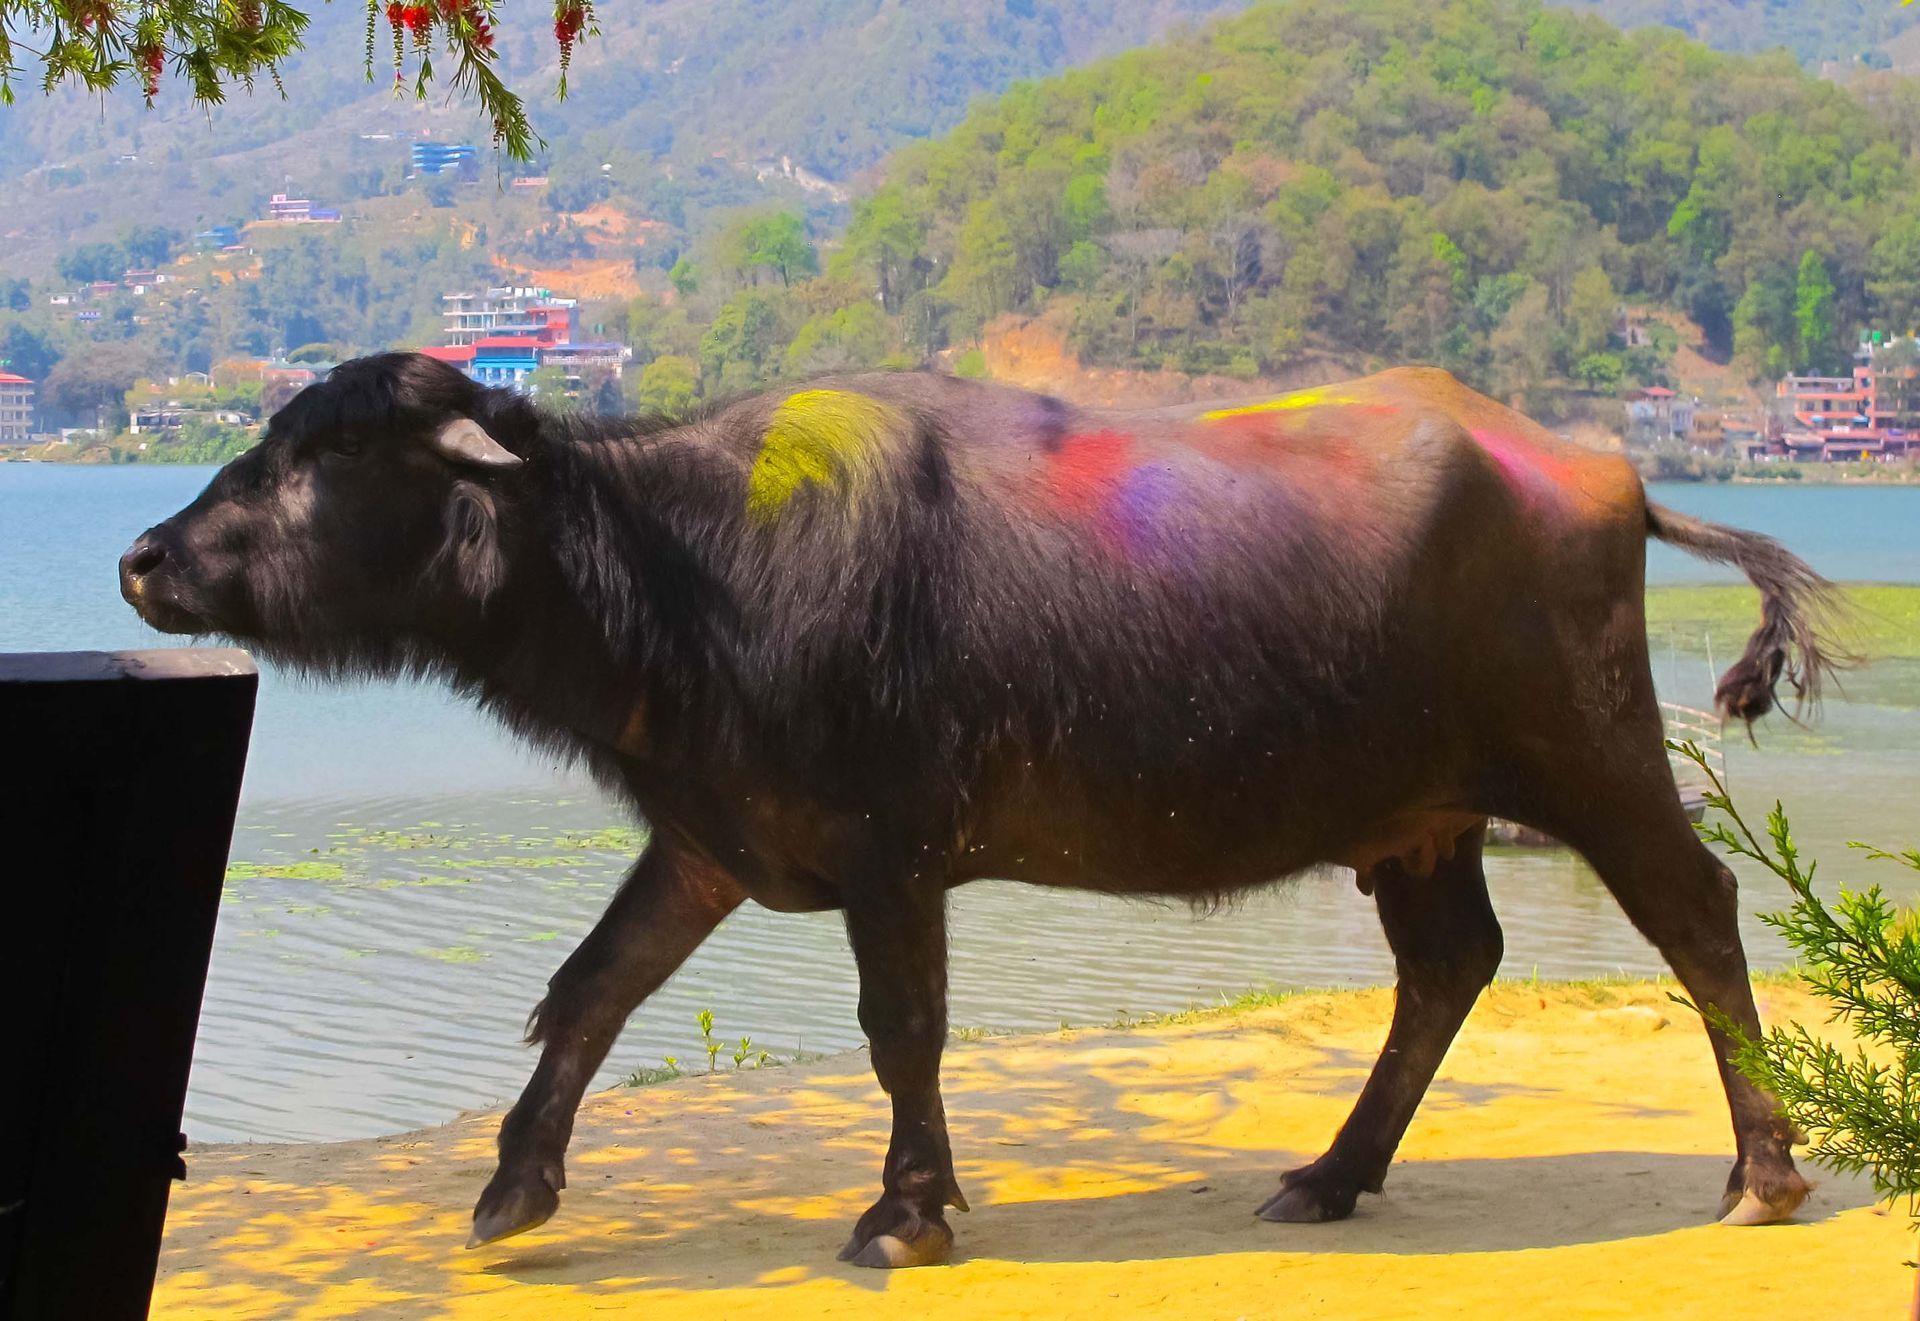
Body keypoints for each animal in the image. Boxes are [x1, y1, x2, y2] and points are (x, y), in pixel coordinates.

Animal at [121, 353, 1837, 1267]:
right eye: (270, 437)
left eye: (332, 452)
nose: (142, 558)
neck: (689, 561)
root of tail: (1605, 469)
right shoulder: (711, 837)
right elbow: (591, 991)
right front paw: (512, 1187)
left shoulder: (892, 854)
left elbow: (903, 1031)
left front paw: (907, 1209)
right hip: (1415, 814)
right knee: (1449, 965)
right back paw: (1334, 1173)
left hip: (1590, 753)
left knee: (1696, 917)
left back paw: (1763, 1172)